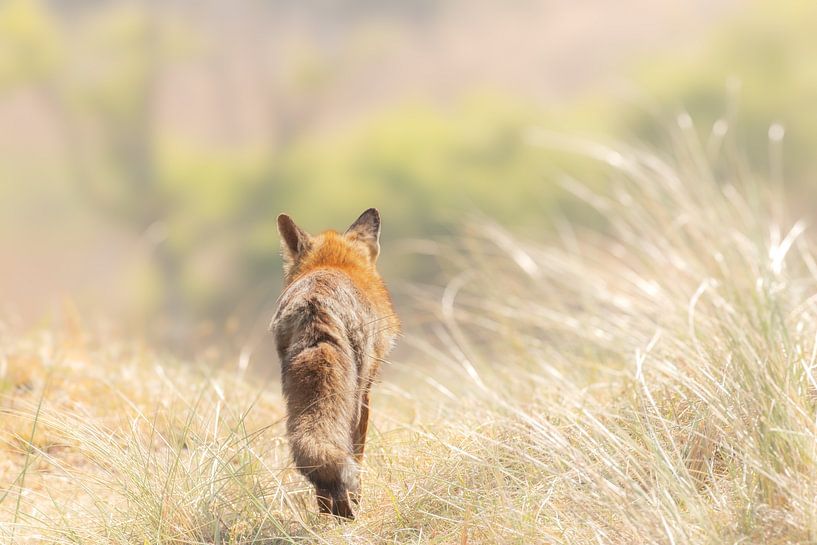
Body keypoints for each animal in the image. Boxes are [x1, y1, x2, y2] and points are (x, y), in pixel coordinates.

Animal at [270, 208, 399, 519]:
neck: (333, 262)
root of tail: (314, 302)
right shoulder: (365, 391)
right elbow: (358, 450)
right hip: (353, 389)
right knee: (347, 452)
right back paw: (346, 511)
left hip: (292, 394)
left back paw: (327, 512)